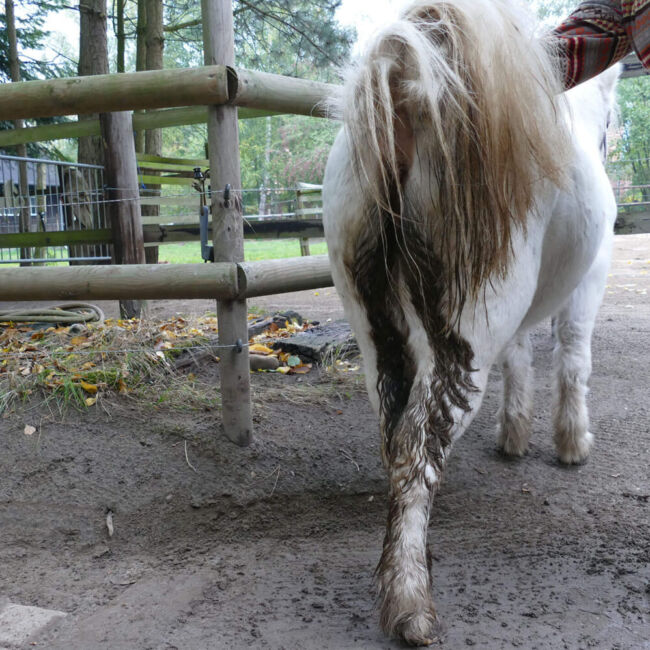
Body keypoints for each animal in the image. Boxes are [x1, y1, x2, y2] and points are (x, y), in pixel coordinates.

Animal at [322, 0, 619, 645]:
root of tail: (408, 85)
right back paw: (411, 604)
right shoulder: (590, 279)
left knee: (395, 432)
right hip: (467, 324)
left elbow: (522, 358)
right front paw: (572, 443)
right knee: (418, 443)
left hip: (374, 321)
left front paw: (515, 435)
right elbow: (574, 356)